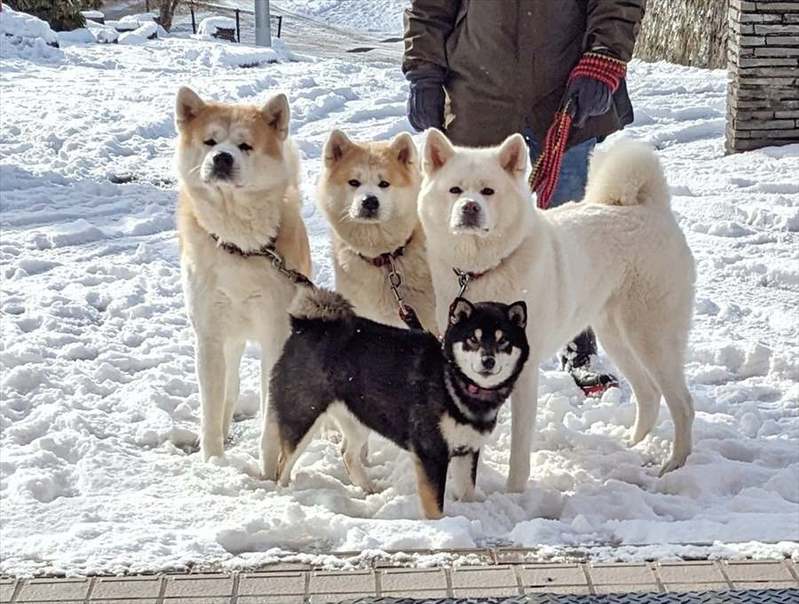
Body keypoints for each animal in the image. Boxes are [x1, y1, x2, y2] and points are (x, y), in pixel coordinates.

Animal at [175, 87, 312, 460]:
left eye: (245, 145)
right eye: (209, 141)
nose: (222, 158)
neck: (240, 245)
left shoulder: (275, 336)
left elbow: (271, 420)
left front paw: (268, 465)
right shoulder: (209, 335)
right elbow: (210, 410)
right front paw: (213, 462)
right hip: (229, 338)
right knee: (229, 389)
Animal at [262, 288, 532, 520]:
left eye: (503, 341)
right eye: (473, 340)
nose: (488, 360)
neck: (452, 379)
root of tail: (305, 326)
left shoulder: (468, 449)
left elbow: (467, 490)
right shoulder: (431, 452)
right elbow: (434, 503)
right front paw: (440, 526)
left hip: (359, 417)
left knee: (348, 454)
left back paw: (368, 488)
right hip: (302, 416)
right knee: (283, 464)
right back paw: (283, 494)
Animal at [422, 130, 696, 494]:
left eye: (487, 191)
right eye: (454, 190)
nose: (469, 207)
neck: (482, 271)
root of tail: (650, 208)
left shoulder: (524, 374)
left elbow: (519, 448)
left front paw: (513, 494)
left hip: (652, 338)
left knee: (683, 405)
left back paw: (676, 464)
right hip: (615, 335)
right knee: (649, 394)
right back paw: (632, 445)